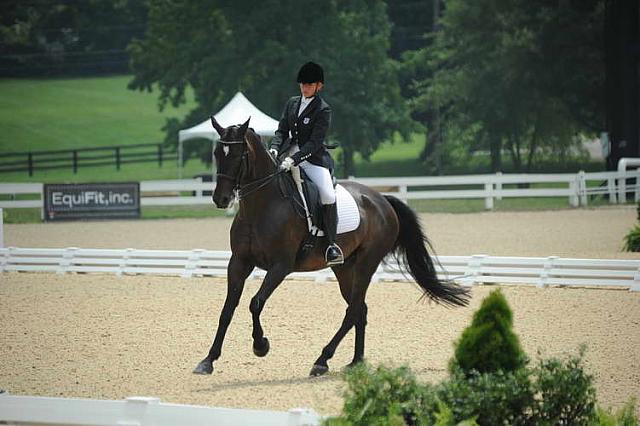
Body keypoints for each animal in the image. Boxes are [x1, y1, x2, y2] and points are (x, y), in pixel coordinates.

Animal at [191, 116, 470, 376]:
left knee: (353, 310)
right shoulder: (239, 262)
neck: (261, 206)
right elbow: (227, 309)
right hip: (345, 267)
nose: (221, 199)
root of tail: (382, 200)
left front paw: (261, 346)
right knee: (359, 309)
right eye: (217, 154)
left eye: (239, 155)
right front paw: (208, 360)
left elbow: (255, 303)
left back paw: (322, 360)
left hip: (367, 264)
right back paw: (355, 362)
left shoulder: (281, 266)